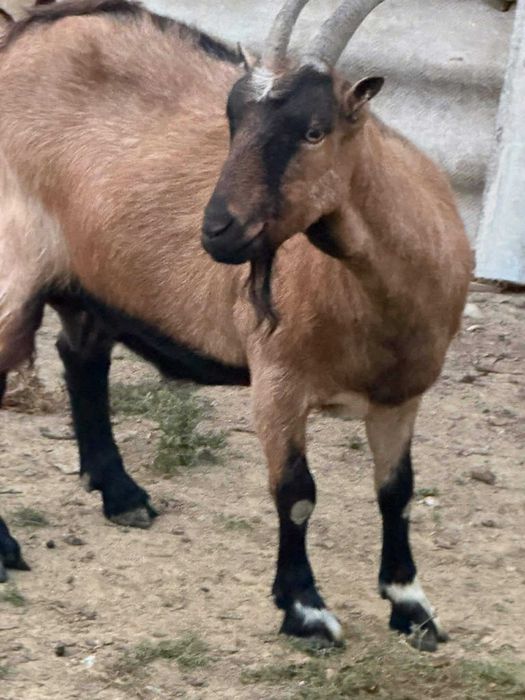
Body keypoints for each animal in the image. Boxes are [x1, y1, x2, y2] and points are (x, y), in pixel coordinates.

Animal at [0, 0, 472, 649]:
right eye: (233, 121)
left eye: (314, 130)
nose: (217, 230)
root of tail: (25, 35)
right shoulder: (278, 382)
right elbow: (297, 495)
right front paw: (305, 610)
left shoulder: (402, 394)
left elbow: (396, 491)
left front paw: (411, 605)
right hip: (15, 269)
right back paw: (7, 547)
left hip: (93, 280)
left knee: (82, 357)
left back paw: (122, 495)